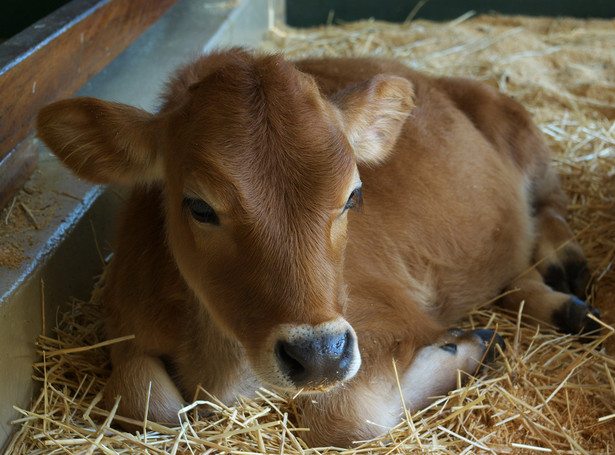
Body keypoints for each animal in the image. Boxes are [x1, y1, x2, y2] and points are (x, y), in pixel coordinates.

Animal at [36, 48, 600, 448]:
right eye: (198, 206)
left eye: (353, 196)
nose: (319, 357)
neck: (227, 363)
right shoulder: (124, 325)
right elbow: (148, 404)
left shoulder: (387, 316)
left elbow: (346, 417)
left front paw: (466, 349)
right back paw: (562, 308)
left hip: (514, 125)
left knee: (549, 207)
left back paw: (564, 269)